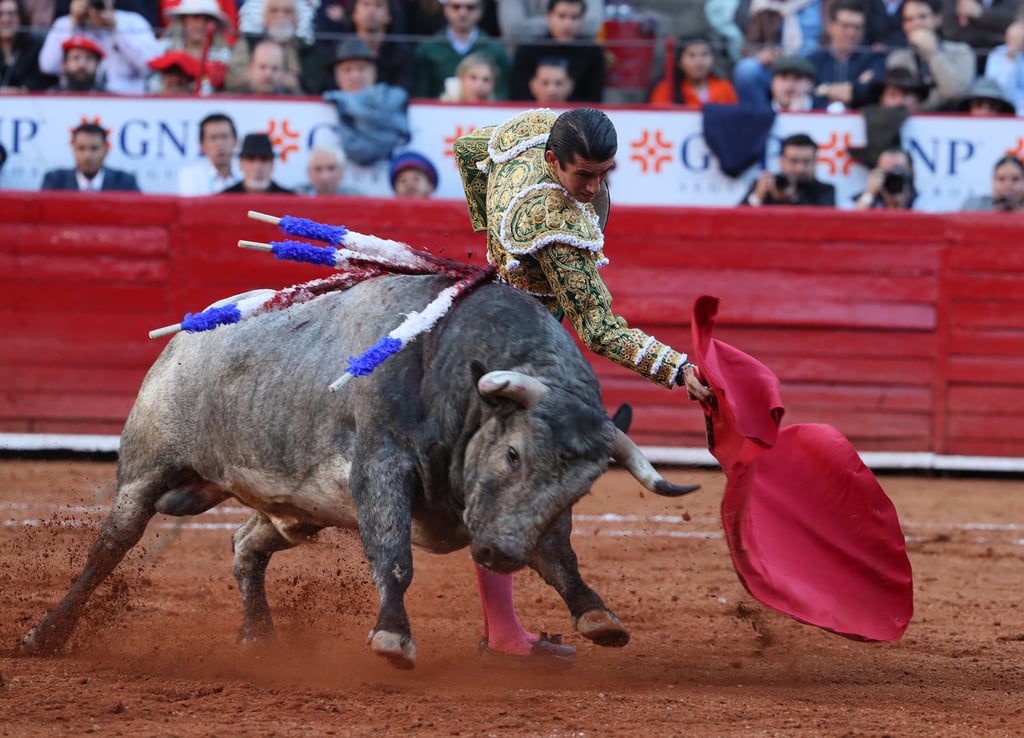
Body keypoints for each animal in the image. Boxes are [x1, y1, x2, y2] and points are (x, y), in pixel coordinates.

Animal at [19, 274, 692, 667]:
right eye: (512, 455)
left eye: (581, 488)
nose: (498, 555)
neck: (450, 373)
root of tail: (187, 333)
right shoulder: (380, 468)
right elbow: (393, 557)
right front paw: (393, 636)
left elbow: (559, 556)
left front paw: (596, 615)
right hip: (147, 470)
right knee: (110, 547)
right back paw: (45, 636)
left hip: (297, 509)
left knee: (245, 545)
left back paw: (259, 637)